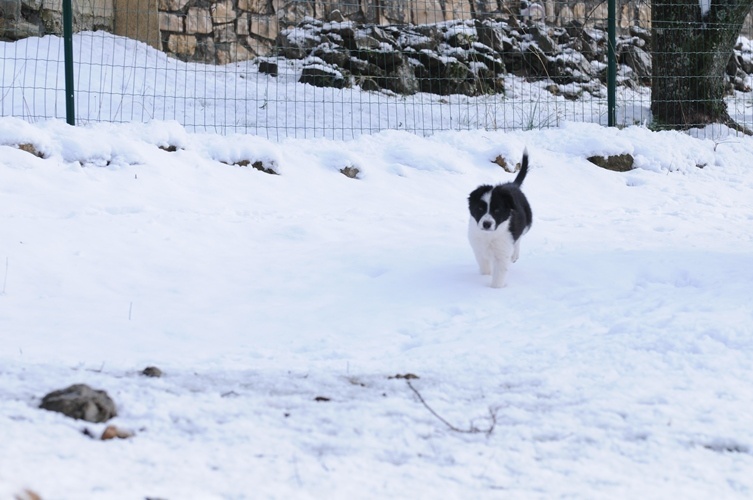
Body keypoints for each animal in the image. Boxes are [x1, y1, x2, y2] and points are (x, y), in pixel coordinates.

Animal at [468, 148, 532, 288]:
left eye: (497, 211)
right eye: (480, 209)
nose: (486, 224)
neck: (489, 235)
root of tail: (513, 185)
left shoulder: (502, 254)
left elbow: (499, 276)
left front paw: (495, 290)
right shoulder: (479, 250)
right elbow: (485, 268)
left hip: (527, 223)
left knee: (519, 238)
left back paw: (514, 255)